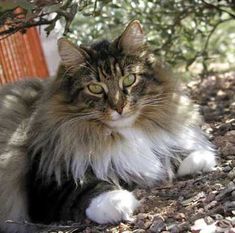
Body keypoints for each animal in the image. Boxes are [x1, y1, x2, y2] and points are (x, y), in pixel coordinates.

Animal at [0, 20, 217, 233]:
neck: (126, 133)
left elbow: (167, 150)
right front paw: (115, 202)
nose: (119, 107)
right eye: (95, 88)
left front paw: (196, 158)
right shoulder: (45, 181)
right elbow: (85, 188)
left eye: (129, 79)